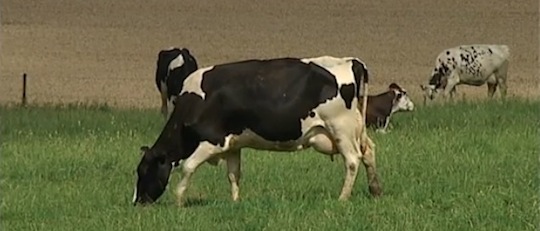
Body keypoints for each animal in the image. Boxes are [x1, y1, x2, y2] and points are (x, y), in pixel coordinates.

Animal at [132, 55, 382, 206]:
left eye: (143, 171)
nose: (137, 202)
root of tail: (350, 60)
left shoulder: (212, 140)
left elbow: (187, 167)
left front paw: (179, 201)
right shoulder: (232, 144)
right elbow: (233, 174)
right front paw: (235, 202)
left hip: (341, 128)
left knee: (353, 160)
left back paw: (343, 197)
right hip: (355, 129)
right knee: (369, 152)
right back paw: (375, 190)